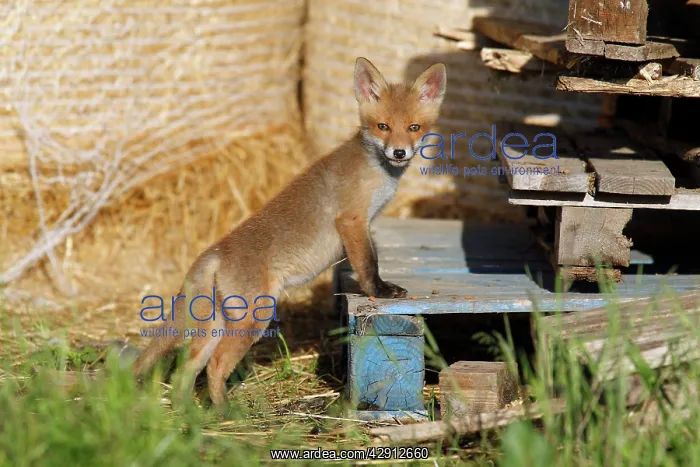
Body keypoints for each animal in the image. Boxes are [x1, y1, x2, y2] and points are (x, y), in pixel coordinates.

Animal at [132, 57, 447, 410]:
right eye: (383, 126)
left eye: (413, 128)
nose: (399, 153)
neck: (377, 171)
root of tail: (214, 252)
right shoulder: (352, 220)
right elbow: (368, 265)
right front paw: (380, 292)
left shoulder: (364, 224)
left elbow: (367, 259)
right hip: (253, 318)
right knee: (215, 366)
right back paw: (229, 414)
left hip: (216, 324)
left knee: (187, 367)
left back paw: (193, 414)